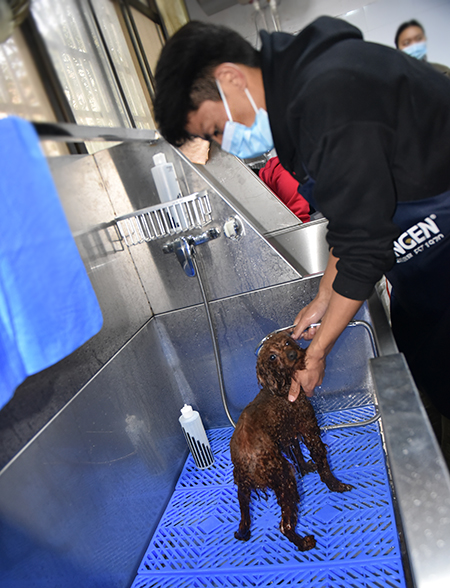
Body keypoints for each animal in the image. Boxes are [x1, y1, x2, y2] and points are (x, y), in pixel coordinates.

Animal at [229, 331, 353, 551]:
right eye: (272, 357)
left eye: (287, 342)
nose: (292, 354)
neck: (283, 385)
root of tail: (245, 461)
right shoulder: (309, 428)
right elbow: (323, 464)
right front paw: (336, 485)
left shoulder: (288, 433)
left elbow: (297, 452)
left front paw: (305, 467)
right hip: (284, 476)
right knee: (284, 525)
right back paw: (303, 542)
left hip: (243, 488)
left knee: (244, 517)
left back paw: (243, 534)